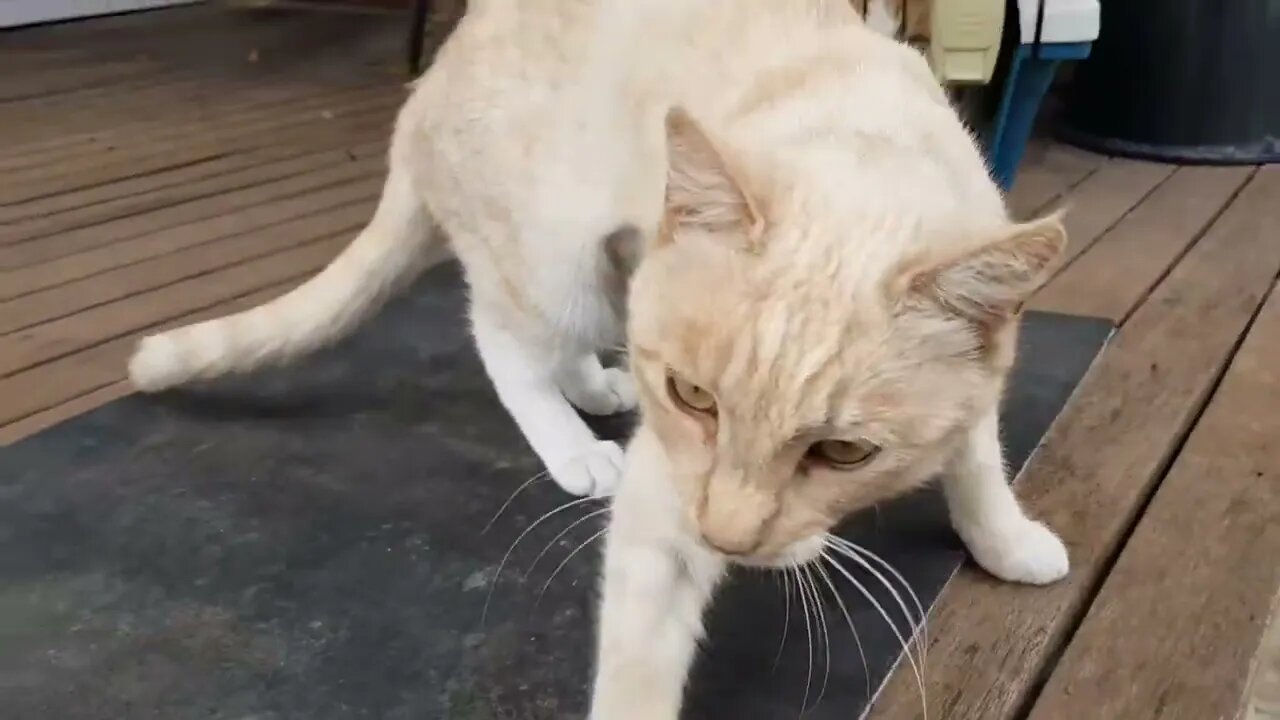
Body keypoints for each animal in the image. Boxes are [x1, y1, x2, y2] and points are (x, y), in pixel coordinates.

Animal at [129, 0, 1070, 712]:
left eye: (843, 453)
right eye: (694, 398)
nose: (724, 537)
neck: (861, 151)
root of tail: (425, 88)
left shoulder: (979, 381)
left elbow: (978, 463)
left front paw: (1008, 542)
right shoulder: (665, 500)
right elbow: (639, 662)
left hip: (615, 258)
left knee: (572, 338)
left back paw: (596, 387)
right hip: (558, 268)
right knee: (503, 338)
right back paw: (573, 444)